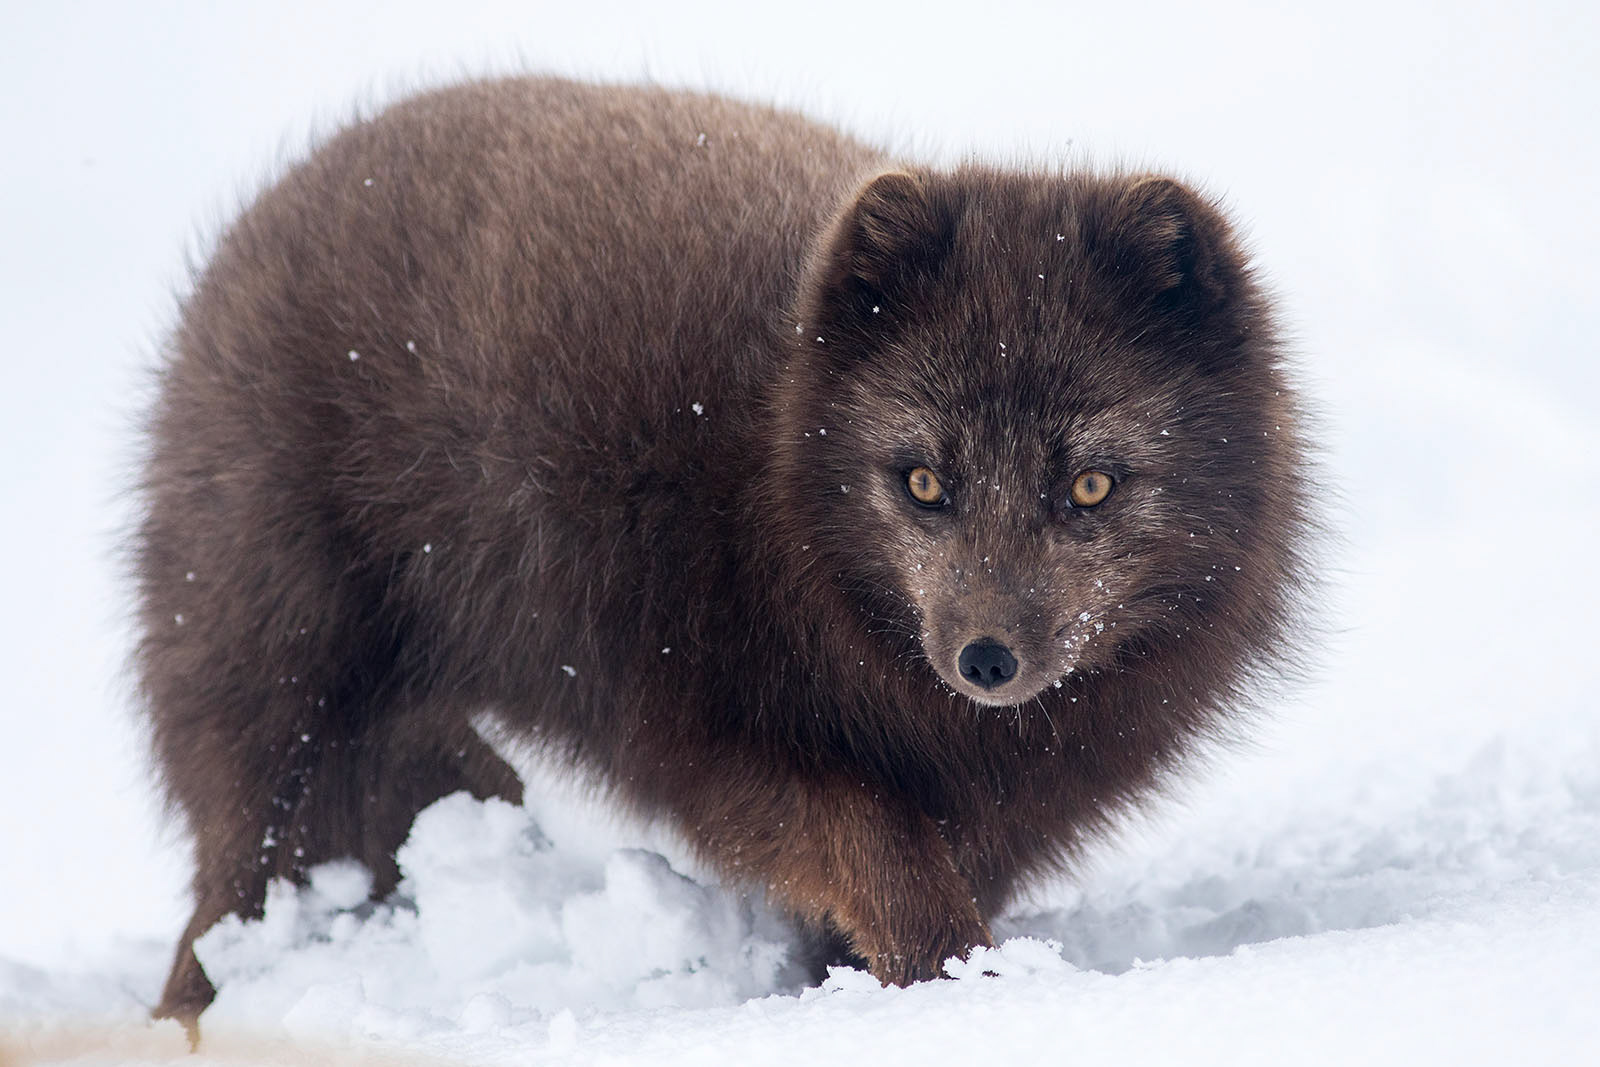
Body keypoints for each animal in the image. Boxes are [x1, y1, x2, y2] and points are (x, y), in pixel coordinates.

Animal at [135, 75, 1311, 1033]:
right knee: (231, 883)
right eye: (923, 482)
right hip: (280, 686)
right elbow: (876, 843)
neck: (770, 474)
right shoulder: (699, 726)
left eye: (1091, 485)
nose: (984, 660)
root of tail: (277, 197)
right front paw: (964, 985)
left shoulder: (1006, 809)